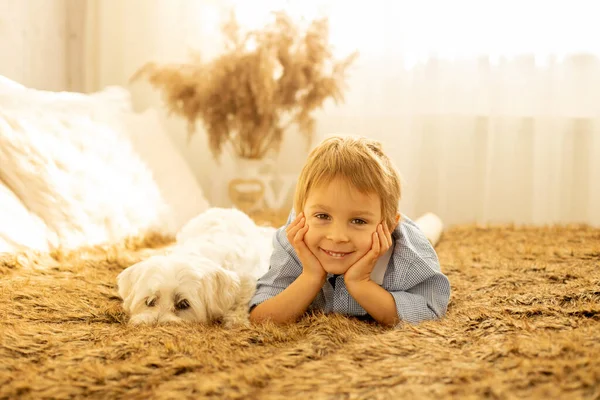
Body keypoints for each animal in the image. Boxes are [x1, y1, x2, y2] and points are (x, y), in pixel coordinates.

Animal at [116, 208, 274, 326]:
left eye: (183, 304)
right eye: (149, 301)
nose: (155, 325)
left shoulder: (248, 281)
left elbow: (242, 302)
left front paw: (236, 319)